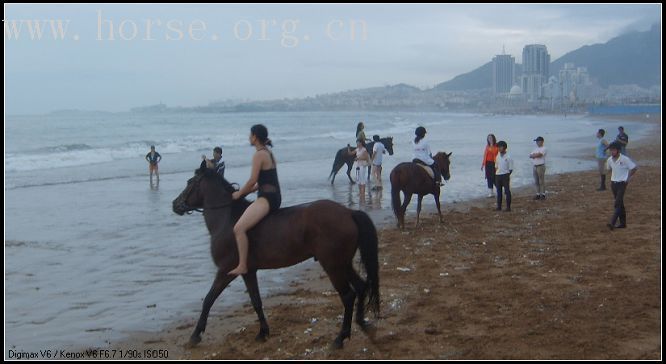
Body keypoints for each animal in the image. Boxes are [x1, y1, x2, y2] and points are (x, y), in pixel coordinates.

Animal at [171, 167, 378, 350]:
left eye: (190, 182)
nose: (175, 204)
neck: (227, 221)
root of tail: (348, 212)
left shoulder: (226, 271)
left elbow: (208, 299)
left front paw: (195, 335)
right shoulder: (248, 272)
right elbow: (256, 301)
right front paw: (263, 332)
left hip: (333, 266)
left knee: (348, 295)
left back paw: (340, 338)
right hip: (343, 264)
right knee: (361, 287)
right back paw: (363, 324)